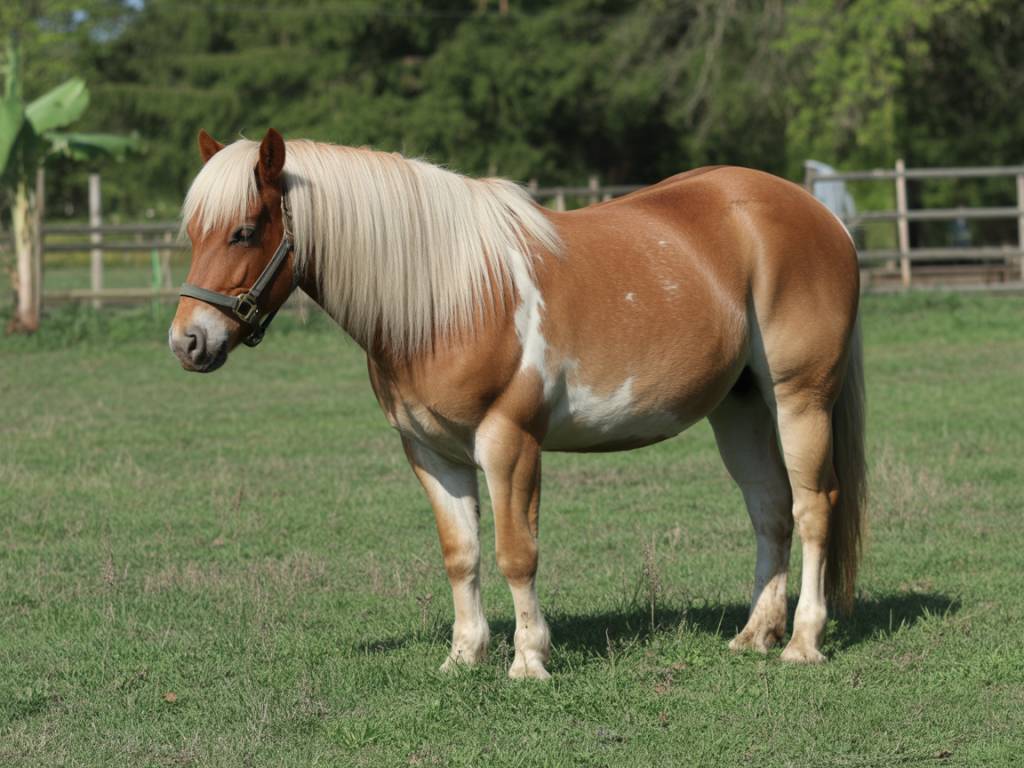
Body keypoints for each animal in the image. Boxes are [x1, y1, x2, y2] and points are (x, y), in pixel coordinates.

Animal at [169, 128, 865, 680]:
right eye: (195, 233)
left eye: (245, 231)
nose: (187, 342)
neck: (452, 295)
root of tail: (824, 217)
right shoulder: (431, 452)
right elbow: (462, 554)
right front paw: (463, 657)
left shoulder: (510, 443)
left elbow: (515, 551)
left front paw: (529, 660)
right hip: (740, 407)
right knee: (770, 510)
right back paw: (755, 635)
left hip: (800, 399)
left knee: (812, 507)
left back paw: (803, 642)